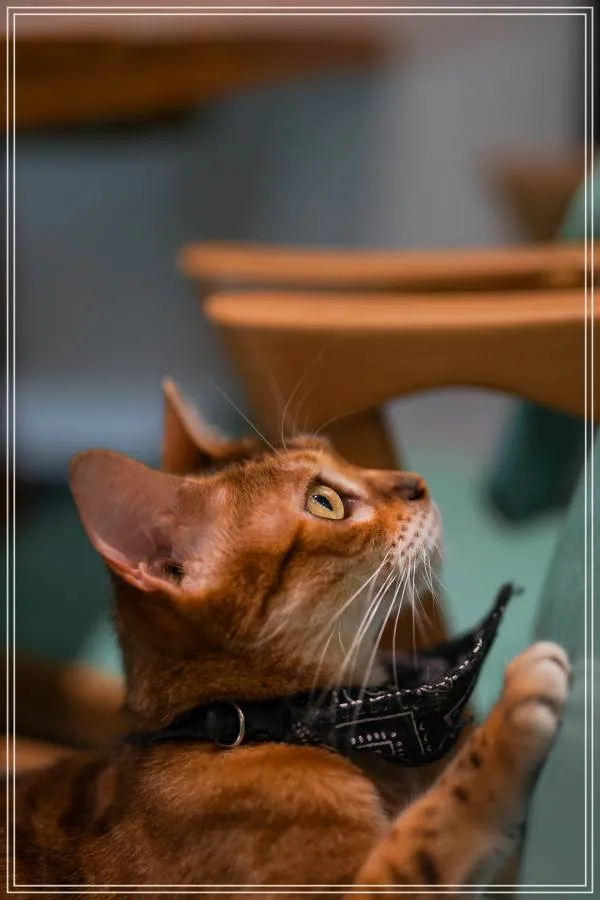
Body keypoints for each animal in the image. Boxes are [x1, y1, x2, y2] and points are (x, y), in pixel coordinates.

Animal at [2, 383, 570, 898]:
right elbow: (430, 834)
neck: (246, 723)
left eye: (338, 455)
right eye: (326, 503)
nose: (416, 482)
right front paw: (512, 714)